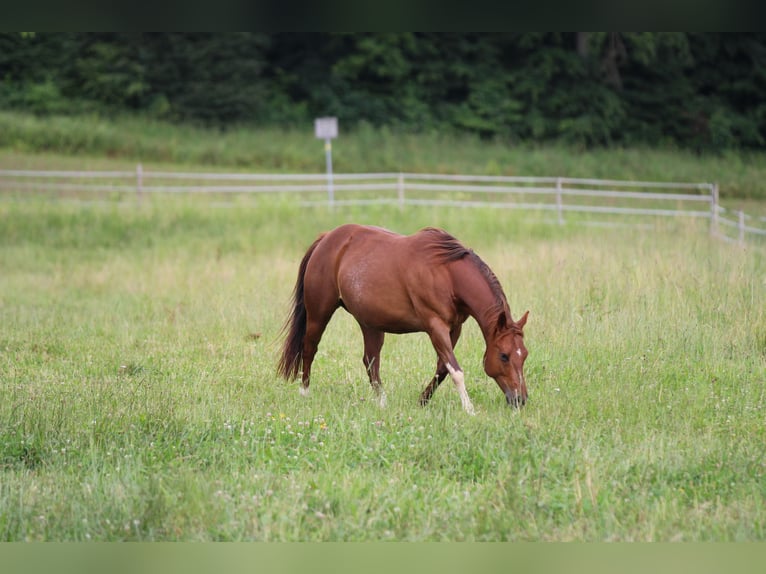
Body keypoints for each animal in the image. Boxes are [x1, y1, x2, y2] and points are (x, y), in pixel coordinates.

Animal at [280, 225, 532, 414]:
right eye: (504, 355)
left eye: (524, 355)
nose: (520, 400)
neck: (447, 274)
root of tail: (326, 239)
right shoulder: (435, 326)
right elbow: (455, 370)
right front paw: (469, 409)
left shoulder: (455, 327)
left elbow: (443, 367)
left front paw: (422, 401)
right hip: (319, 314)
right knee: (309, 349)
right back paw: (305, 392)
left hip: (370, 324)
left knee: (370, 361)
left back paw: (382, 403)